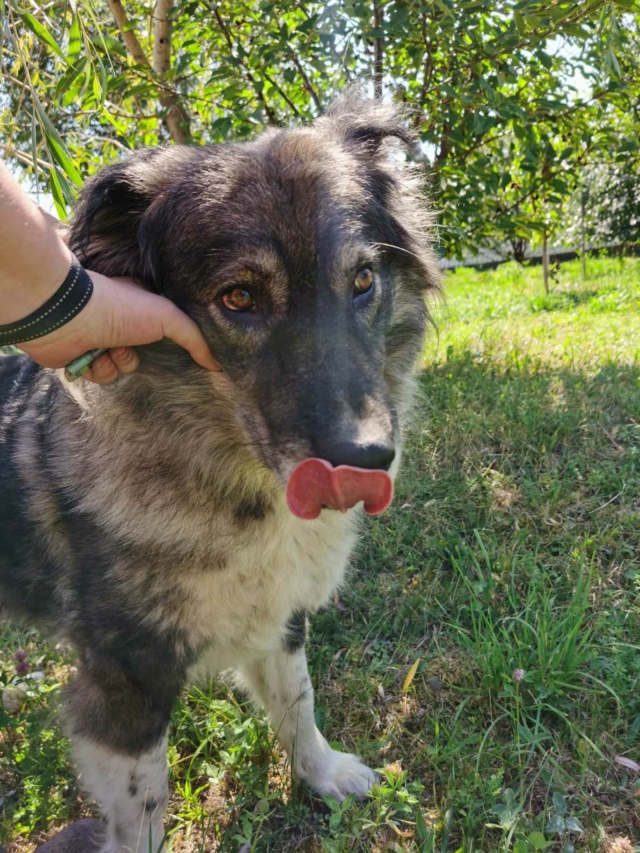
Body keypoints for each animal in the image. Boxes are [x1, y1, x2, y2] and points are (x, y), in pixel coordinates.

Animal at [0, 95, 436, 852]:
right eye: (238, 298)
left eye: (362, 281)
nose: (369, 460)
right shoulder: (124, 677)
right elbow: (144, 807)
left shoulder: (279, 614)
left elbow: (296, 701)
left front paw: (323, 774)